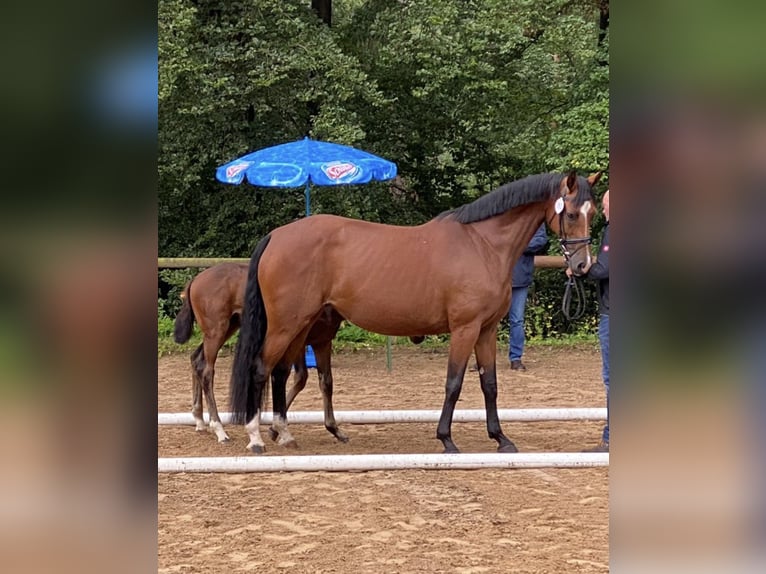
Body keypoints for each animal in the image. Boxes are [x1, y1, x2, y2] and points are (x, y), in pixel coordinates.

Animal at [231, 171, 604, 454]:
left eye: (594, 214)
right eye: (572, 214)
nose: (582, 266)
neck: (482, 244)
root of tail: (276, 236)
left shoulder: (485, 331)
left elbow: (490, 384)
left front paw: (500, 438)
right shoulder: (465, 329)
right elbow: (454, 383)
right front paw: (447, 439)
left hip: (302, 325)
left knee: (281, 373)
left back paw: (284, 433)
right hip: (286, 324)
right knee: (261, 368)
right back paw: (255, 436)